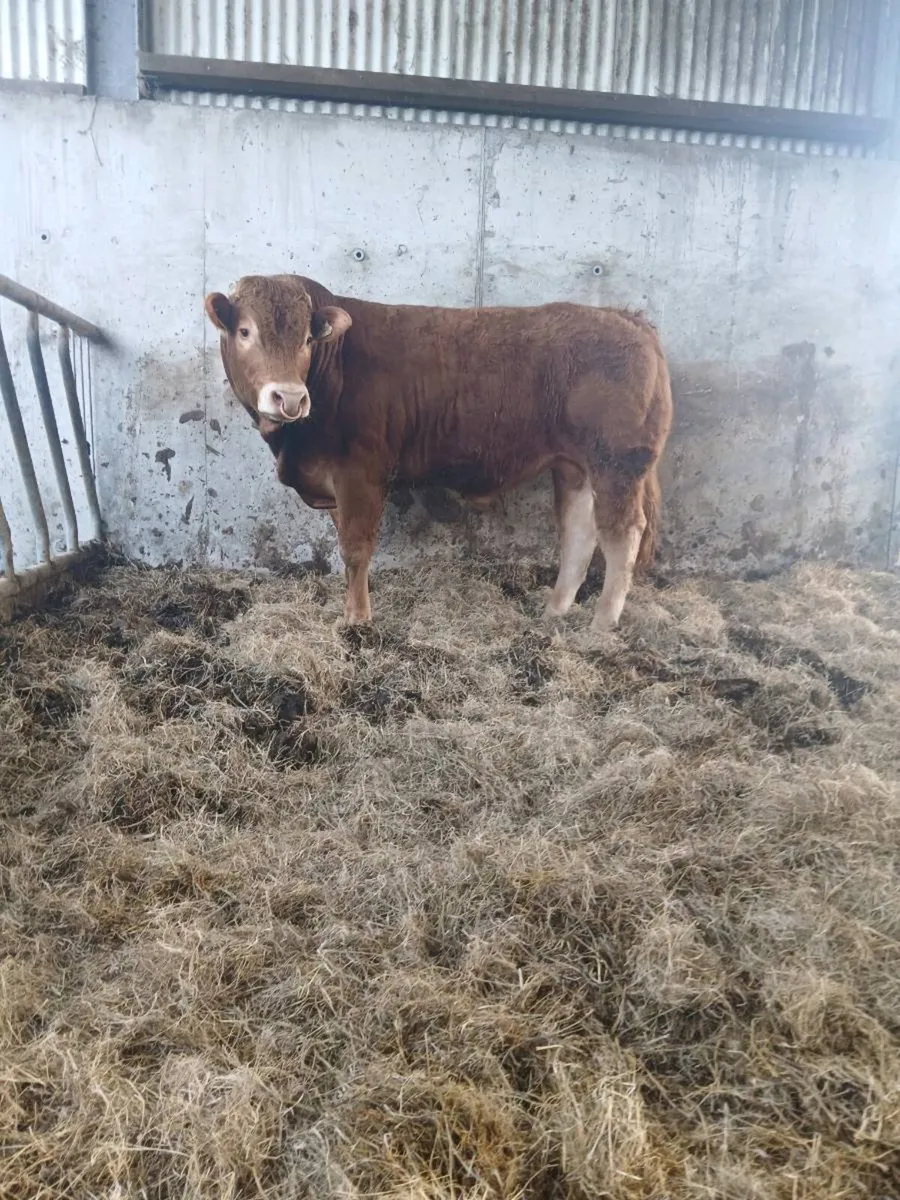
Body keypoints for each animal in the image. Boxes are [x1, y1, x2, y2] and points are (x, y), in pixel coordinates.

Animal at [205, 274, 672, 633]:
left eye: (305, 338)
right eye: (245, 332)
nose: (289, 398)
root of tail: (626, 318)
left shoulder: (360, 474)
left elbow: (355, 549)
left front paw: (357, 621)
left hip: (617, 463)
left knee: (622, 534)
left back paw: (601, 625)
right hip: (575, 466)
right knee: (579, 532)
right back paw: (554, 611)